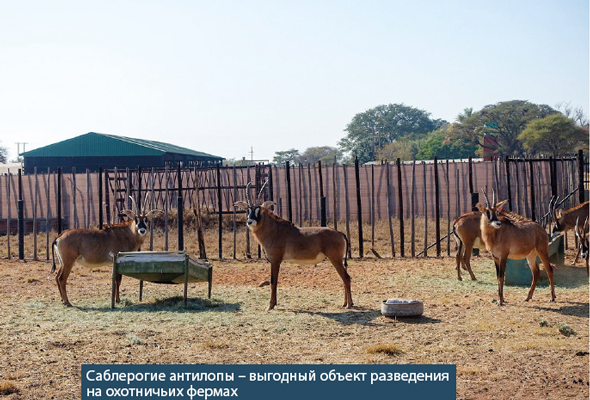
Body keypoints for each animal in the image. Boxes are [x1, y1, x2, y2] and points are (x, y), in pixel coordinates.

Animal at [234, 182, 353, 311]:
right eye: (248, 209)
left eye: (259, 209)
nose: (250, 221)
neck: (274, 230)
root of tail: (339, 233)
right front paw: (274, 304)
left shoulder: (275, 261)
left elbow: (273, 281)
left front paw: (270, 305)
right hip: (338, 260)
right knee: (344, 278)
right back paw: (345, 303)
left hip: (335, 259)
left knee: (346, 278)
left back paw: (349, 304)